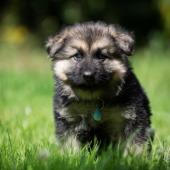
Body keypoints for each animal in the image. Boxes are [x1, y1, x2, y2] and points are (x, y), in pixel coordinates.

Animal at [45, 21, 153, 154]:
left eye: (101, 56)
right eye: (77, 56)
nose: (88, 75)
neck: (93, 99)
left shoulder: (134, 118)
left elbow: (136, 142)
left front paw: (136, 158)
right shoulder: (68, 119)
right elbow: (70, 144)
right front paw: (71, 156)